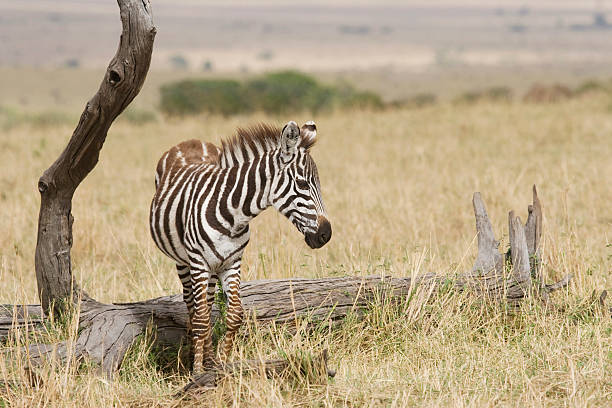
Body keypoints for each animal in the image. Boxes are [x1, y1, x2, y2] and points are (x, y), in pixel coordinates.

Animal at [149, 119, 330, 372]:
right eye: (302, 183)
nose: (326, 234)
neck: (233, 214)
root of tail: (190, 140)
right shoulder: (198, 262)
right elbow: (201, 319)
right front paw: (198, 371)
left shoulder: (232, 262)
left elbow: (234, 314)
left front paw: (221, 366)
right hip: (184, 261)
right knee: (193, 306)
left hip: (214, 266)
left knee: (206, 303)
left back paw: (209, 357)